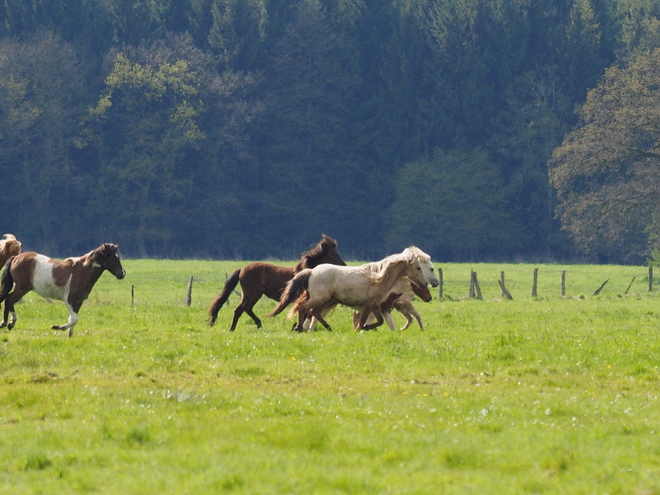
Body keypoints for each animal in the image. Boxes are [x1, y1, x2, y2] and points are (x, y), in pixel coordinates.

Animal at [210, 235, 346, 334]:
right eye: (331, 253)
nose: (344, 265)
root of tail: (241, 269)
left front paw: (296, 327)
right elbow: (305, 311)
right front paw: (297, 327)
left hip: (247, 295)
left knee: (242, 309)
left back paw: (247, 326)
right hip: (254, 294)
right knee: (243, 309)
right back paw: (241, 327)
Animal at [266, 248, 428, 334]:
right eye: (418, 267)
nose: (424, 283)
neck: (379, 278)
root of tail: (311, 271)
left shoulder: (374, 304)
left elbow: (380, 320)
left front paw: (366, 327)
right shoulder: (369, 304)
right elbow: (365, 320)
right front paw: (361, 329)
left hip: (327, 300)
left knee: (314, 312)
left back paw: (328, 328)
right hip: (321, 298)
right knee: (303, 308)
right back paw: (300, 328)